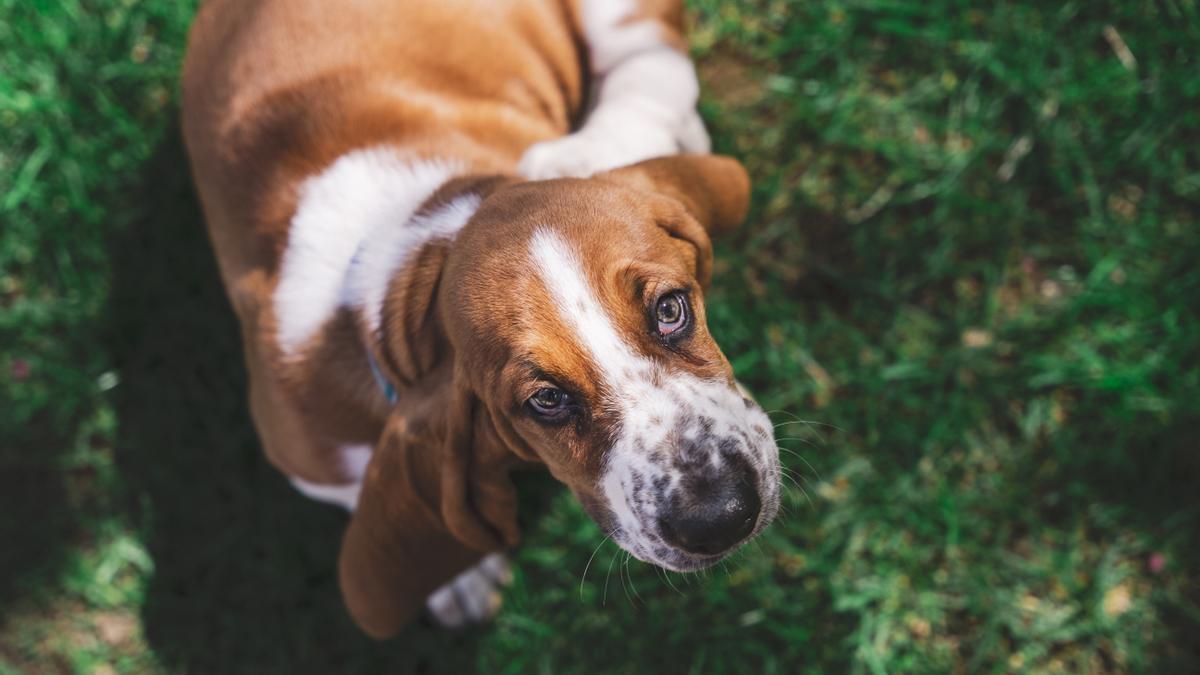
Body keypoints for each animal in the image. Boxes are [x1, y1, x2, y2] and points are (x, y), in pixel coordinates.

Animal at [175, 0, 777, 634]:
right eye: (546, 400)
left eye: (670, 310)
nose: (722, 516)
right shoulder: (307, 455)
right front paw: (459, 579)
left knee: (652, 69)